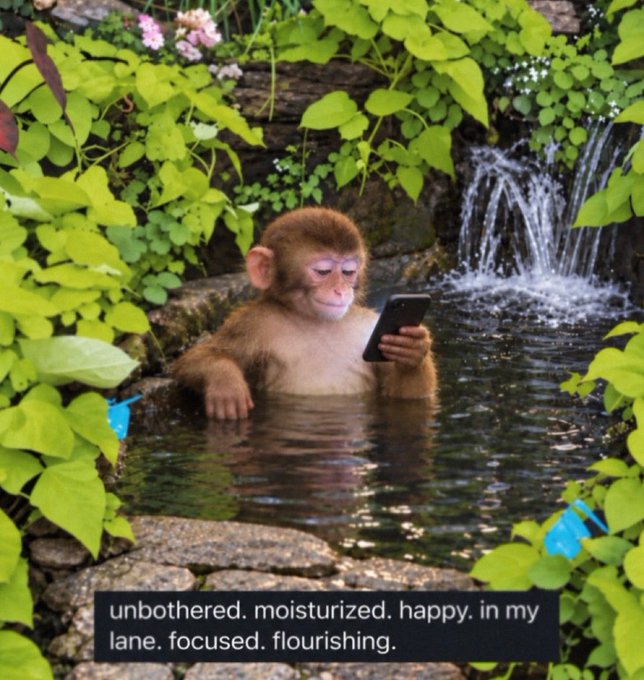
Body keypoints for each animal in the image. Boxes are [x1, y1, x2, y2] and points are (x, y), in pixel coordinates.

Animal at [172, 207, 437, 420]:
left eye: (348, 272)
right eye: (323, 271)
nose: (341, 290)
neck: (314, 320)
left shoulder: (369, 326)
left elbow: (407, 399)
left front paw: (413, 348)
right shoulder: (252, 323)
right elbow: (198, 356)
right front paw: (225, 383)